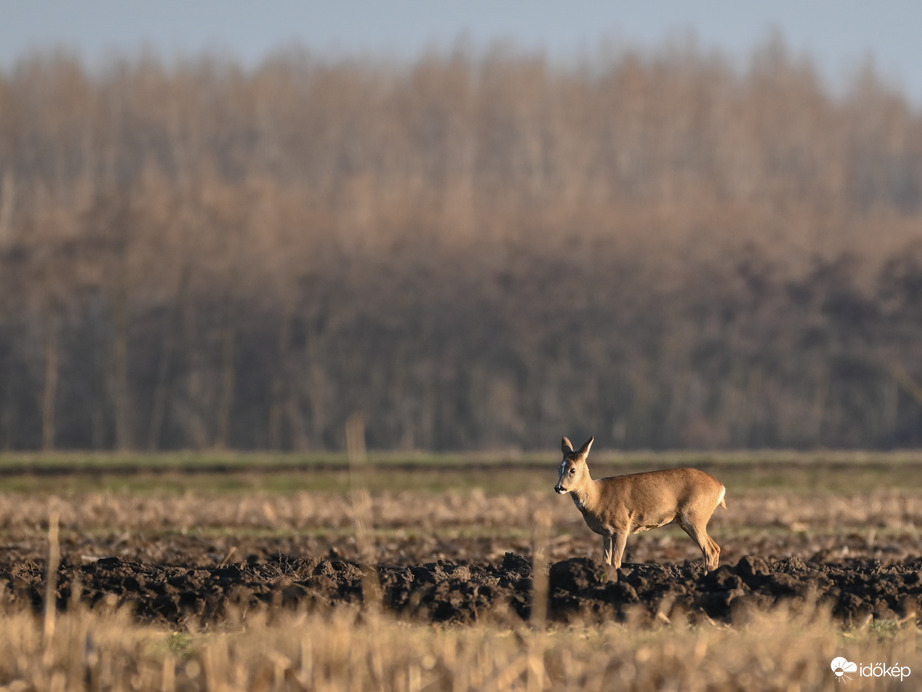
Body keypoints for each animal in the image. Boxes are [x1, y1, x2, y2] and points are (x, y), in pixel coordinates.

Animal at [552, 436, 724, 572]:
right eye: (560, 467)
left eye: (572, 469)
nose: (558, 487)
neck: (598, 496)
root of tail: (720, 487)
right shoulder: (606, 533)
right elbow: (606, 561)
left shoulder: (621, 527)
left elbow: (616, 562)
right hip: (686, 521)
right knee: (715, 548)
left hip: (695, 516)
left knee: (710, 550)